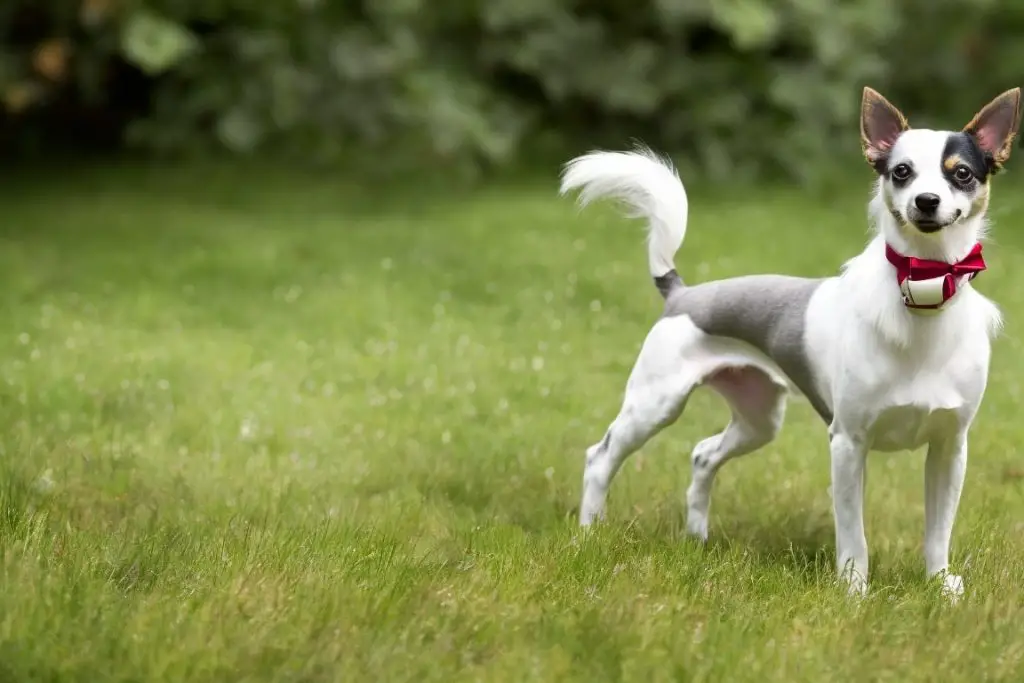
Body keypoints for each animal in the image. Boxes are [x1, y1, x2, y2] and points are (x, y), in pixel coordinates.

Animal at [565, 87, 1019, 598]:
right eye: (901, 171)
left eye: (961, 173)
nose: (926, 200)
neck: (925, 287)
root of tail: (681, 292)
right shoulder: (848, 444)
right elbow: (853, 534)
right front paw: (855, 591)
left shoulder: (949, 448)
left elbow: (938, 530)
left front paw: (941, 586)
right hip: (654, 405)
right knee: (600, 458)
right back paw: (589, 533)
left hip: (759, 419)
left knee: (703, 455)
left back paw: (696, 537)